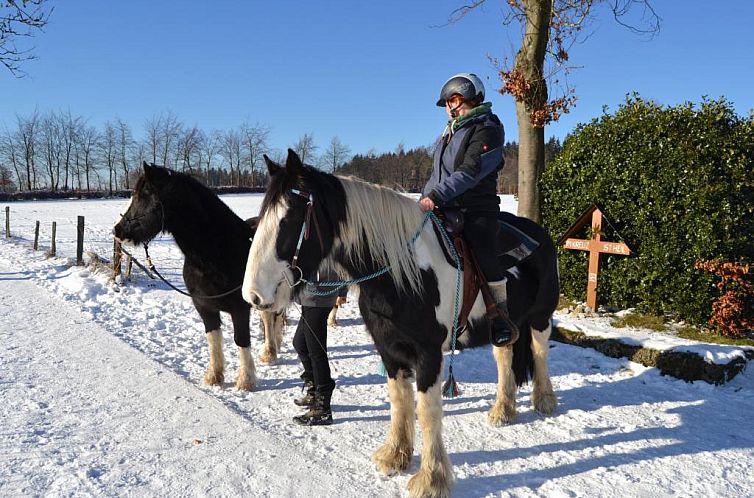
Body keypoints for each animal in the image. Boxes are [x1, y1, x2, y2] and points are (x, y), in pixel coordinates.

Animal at [113, 162, 284, 390]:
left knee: (271, 317)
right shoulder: (203, 306)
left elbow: (241, 339)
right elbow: (213, 338)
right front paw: (214, 376)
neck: (216, 254)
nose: (117, 230)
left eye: (143, 195)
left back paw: (270, 351)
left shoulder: (239, 308)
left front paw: (245, 381)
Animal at [242, 151, 560, 498]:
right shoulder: (390, 350)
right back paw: (503, 409)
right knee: (504, 357)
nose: (253, 295)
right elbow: (399, 401)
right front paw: (395, 455)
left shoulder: (429, 355)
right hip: (505, 326)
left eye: (288, 221)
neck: (402, 273)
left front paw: (431, 479)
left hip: (540, 317)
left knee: (540, 352)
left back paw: (544, 400)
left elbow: (427, 411)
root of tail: (539, 234)